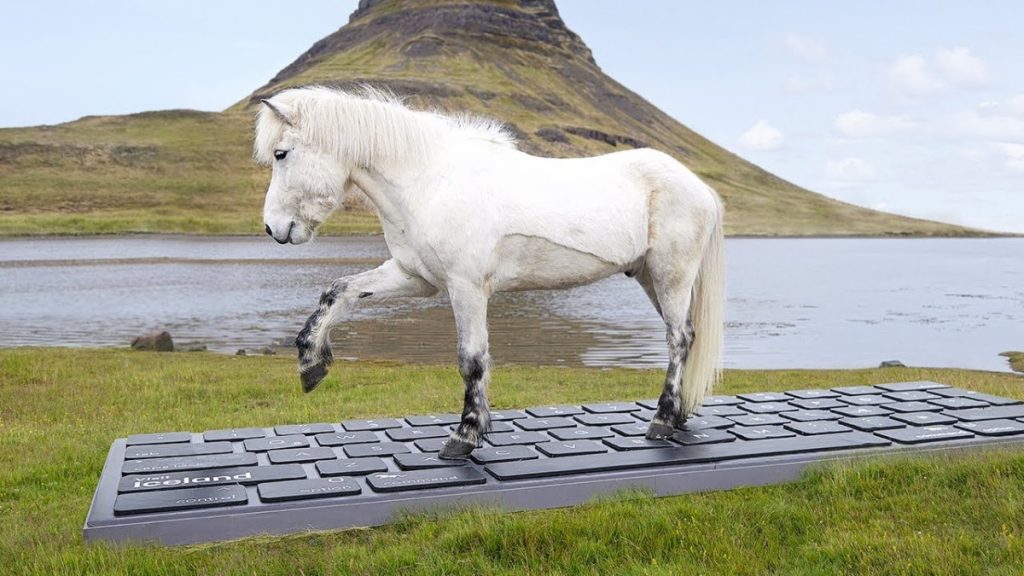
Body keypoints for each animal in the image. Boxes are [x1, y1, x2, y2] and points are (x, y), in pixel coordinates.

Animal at [255, 86, 725, 460]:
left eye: (281, 154)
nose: (273, 229)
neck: (429, 181)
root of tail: (699, 187)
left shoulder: (466, 288)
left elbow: (472, 359)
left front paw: (465, 434)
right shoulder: (415, 278)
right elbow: (338, 292)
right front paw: (311, 363)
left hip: (671, 275)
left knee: (678, 339)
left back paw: (662, 420)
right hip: (650, 277)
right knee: (686, 334)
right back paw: (679, 415)